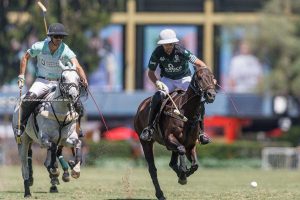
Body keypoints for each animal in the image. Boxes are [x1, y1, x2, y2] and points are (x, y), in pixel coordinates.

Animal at [12, 61, 82, 197]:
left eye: (78, 78)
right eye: (63, 78)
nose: (73, 95)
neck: (61, 111)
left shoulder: (66, 138)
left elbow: (77, 143)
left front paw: (75, 168)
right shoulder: (44, 138)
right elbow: (53, 148)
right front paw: (55, 170)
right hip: (23, 140)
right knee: (24, 165)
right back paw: (27, 190)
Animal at [134, 67, 216, 200]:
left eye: (213, 77)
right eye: (199, 78)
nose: (211, 95)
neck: (186, 113)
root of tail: (141, 105)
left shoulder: (190, 144)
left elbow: (195, 165)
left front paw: (184, 174)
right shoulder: (169, 139)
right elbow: (181, 151)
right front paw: (182, 175)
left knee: (172, 162)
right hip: (145, 142)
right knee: (152, 169)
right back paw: (160, 194)